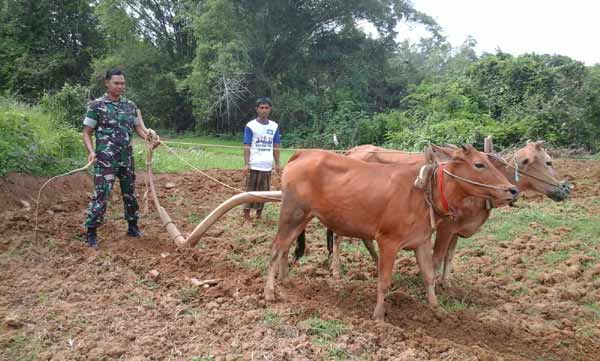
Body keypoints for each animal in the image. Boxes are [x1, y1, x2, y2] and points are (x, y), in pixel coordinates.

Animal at [264, 145, 516, 320]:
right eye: (479, 164)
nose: (512, 190)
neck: (424, 191)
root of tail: (303, 154)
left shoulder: (422, 241)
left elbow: (429, 276)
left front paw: (437, 309)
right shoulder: (388, 242)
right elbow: (384, 281)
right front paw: (378, 316)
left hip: (303, 217)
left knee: (285, 247)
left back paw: (285, 281)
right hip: (292, 213)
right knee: (276, 249)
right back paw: (269, 293)